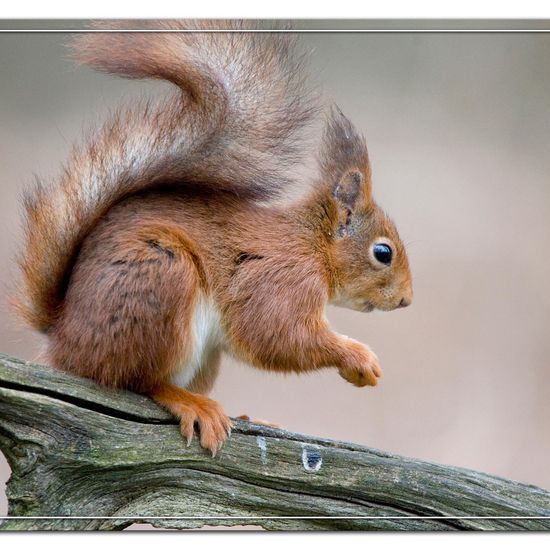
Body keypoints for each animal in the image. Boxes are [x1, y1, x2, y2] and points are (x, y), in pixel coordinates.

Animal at [15, 20, 414, 458]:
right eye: (383, 252)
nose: (406, 300)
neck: (311, 245)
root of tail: (63, 339)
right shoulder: (282, 279)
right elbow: (278, 335)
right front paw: (357, 356)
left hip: (204, 354)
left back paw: (243, 416)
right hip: (162, 282)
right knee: (136, 381)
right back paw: (190, 404)